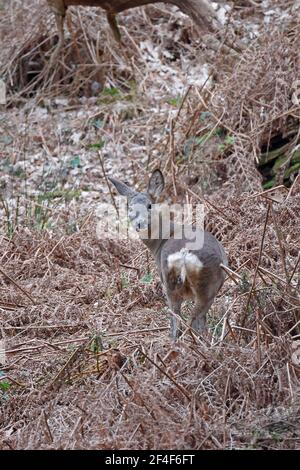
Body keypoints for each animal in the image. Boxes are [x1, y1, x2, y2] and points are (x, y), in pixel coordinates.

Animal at [109, 171, 229, 340]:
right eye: (130, 207)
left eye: (149, 205)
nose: (139, 224)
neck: (161, 240)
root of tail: (185, 254)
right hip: (205, 286)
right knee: (192, 319)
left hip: (175, 281)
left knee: (182, 318)